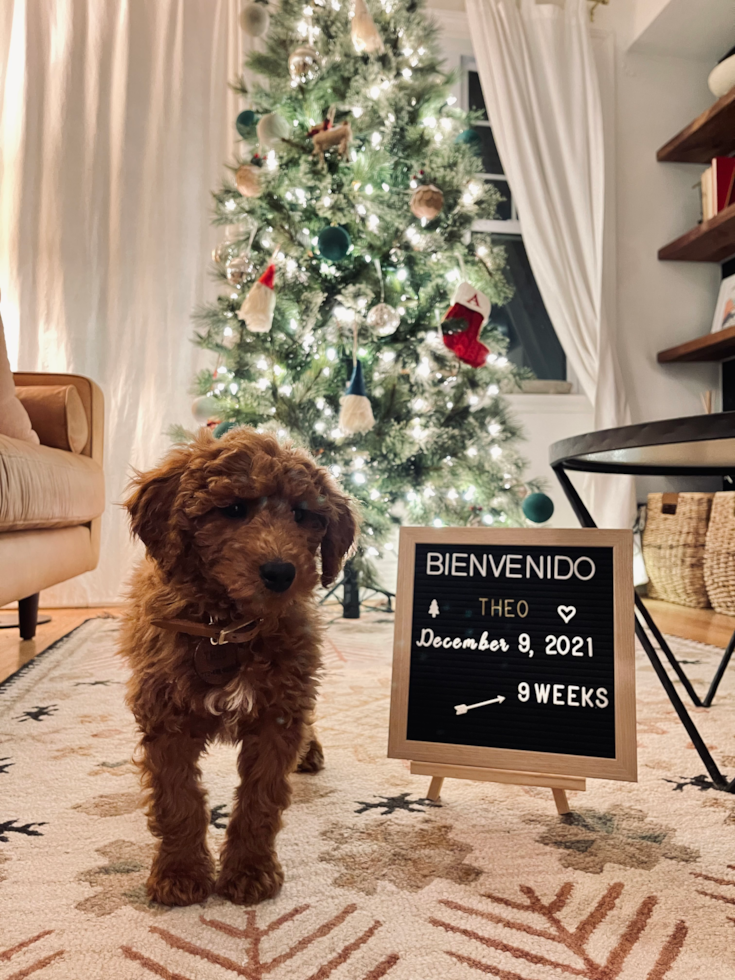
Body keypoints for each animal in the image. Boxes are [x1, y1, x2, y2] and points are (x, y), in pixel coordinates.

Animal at [118, 432, 356, 908]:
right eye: (232, 509)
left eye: (303, 515)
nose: (281, 572)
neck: (227, 627)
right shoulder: (165, 718)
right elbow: (178, 799)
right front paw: (180, 872)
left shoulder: (278, 716)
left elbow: (259, 801)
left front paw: (250, 870)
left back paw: (310, 750)